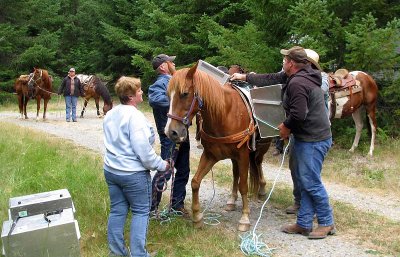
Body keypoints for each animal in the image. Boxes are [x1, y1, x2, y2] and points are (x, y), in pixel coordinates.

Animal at [165, 62, 272, 230]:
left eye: (184, 94)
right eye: (168, 95)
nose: (171, 132)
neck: (224, 113)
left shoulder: (243, 155)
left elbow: (243, 186)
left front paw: (244, 218)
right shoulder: (211, 155)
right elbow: (195, 182)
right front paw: (197, 216)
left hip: (260, 150)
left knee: (258, 164)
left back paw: (261, 189)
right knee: (235, 174)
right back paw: (232, 200)